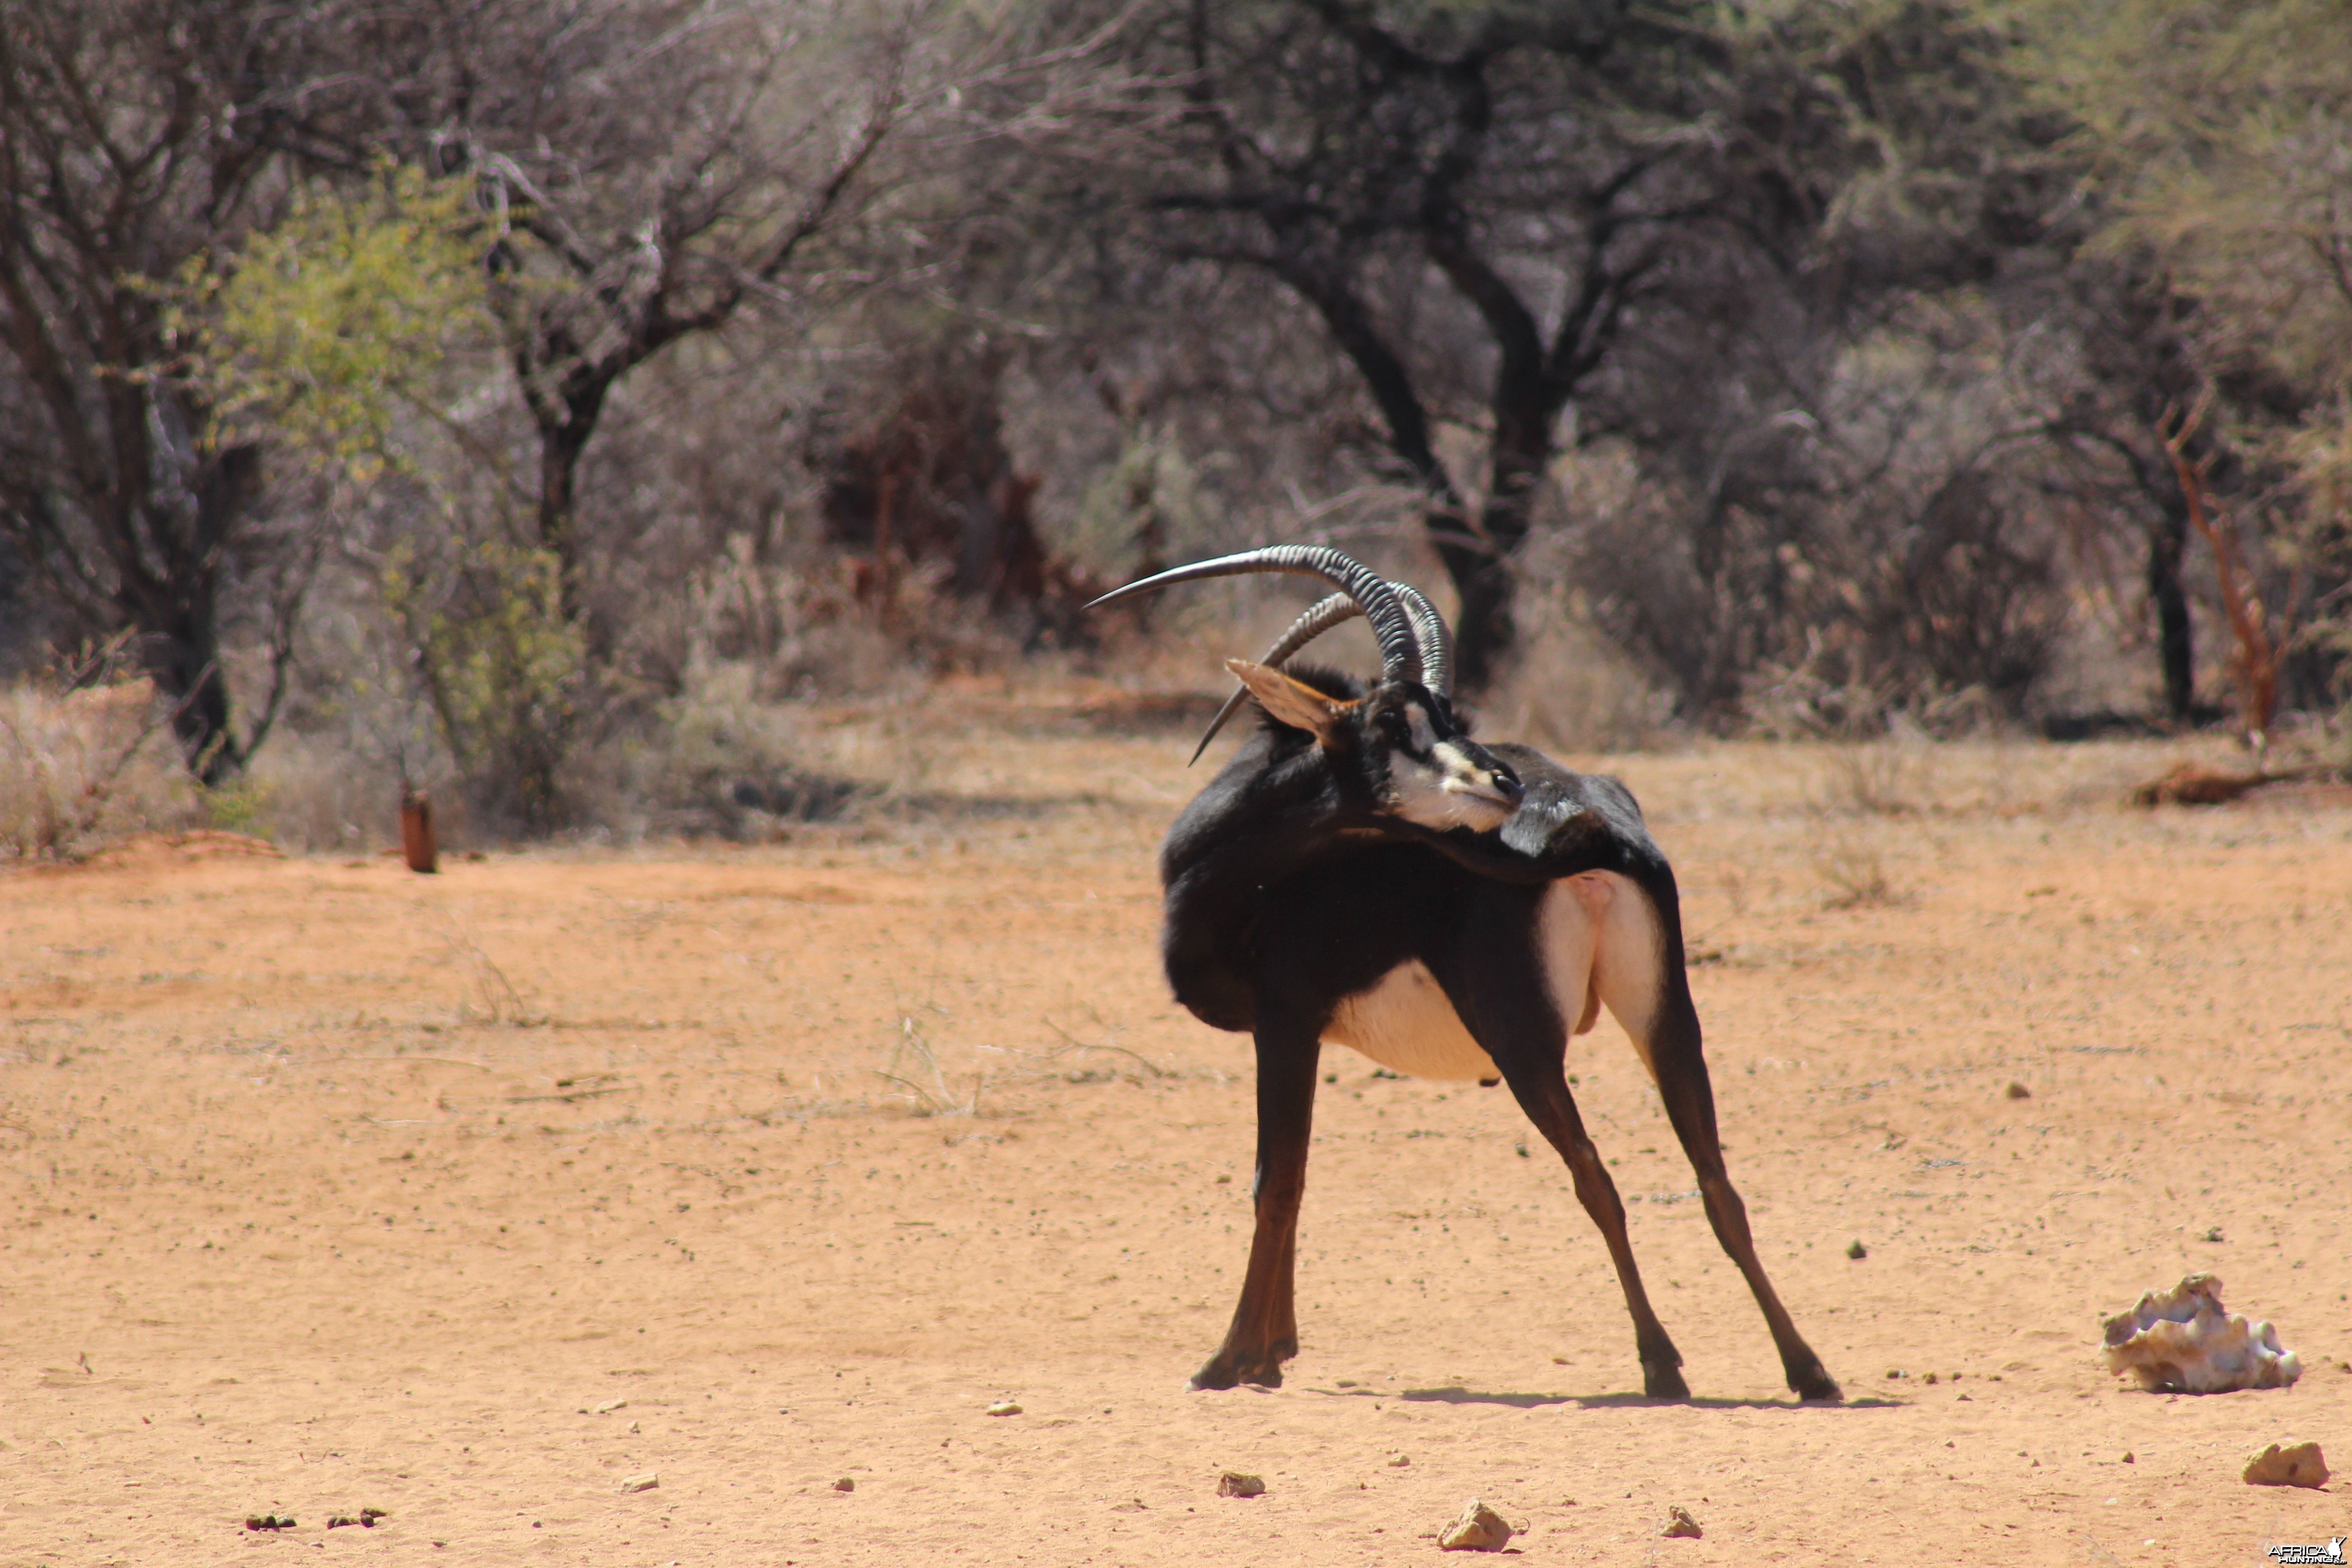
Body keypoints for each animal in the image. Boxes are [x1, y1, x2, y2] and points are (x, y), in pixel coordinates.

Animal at [1082, 550, 1834, 1401]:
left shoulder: (1285, 1023)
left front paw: (1232, 1359)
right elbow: (1299, 1177)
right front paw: (1274, 1351)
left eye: (1447, 718)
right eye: (1389, 721)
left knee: (1595, 1179)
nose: (1502, 784)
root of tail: (1596, 827)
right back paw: (1807, 1369)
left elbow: (1276, 1179)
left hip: (1522, 1046)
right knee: (1716, 1182)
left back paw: (1661, 1363)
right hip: (1665, 1018)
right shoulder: (1307, 1035)